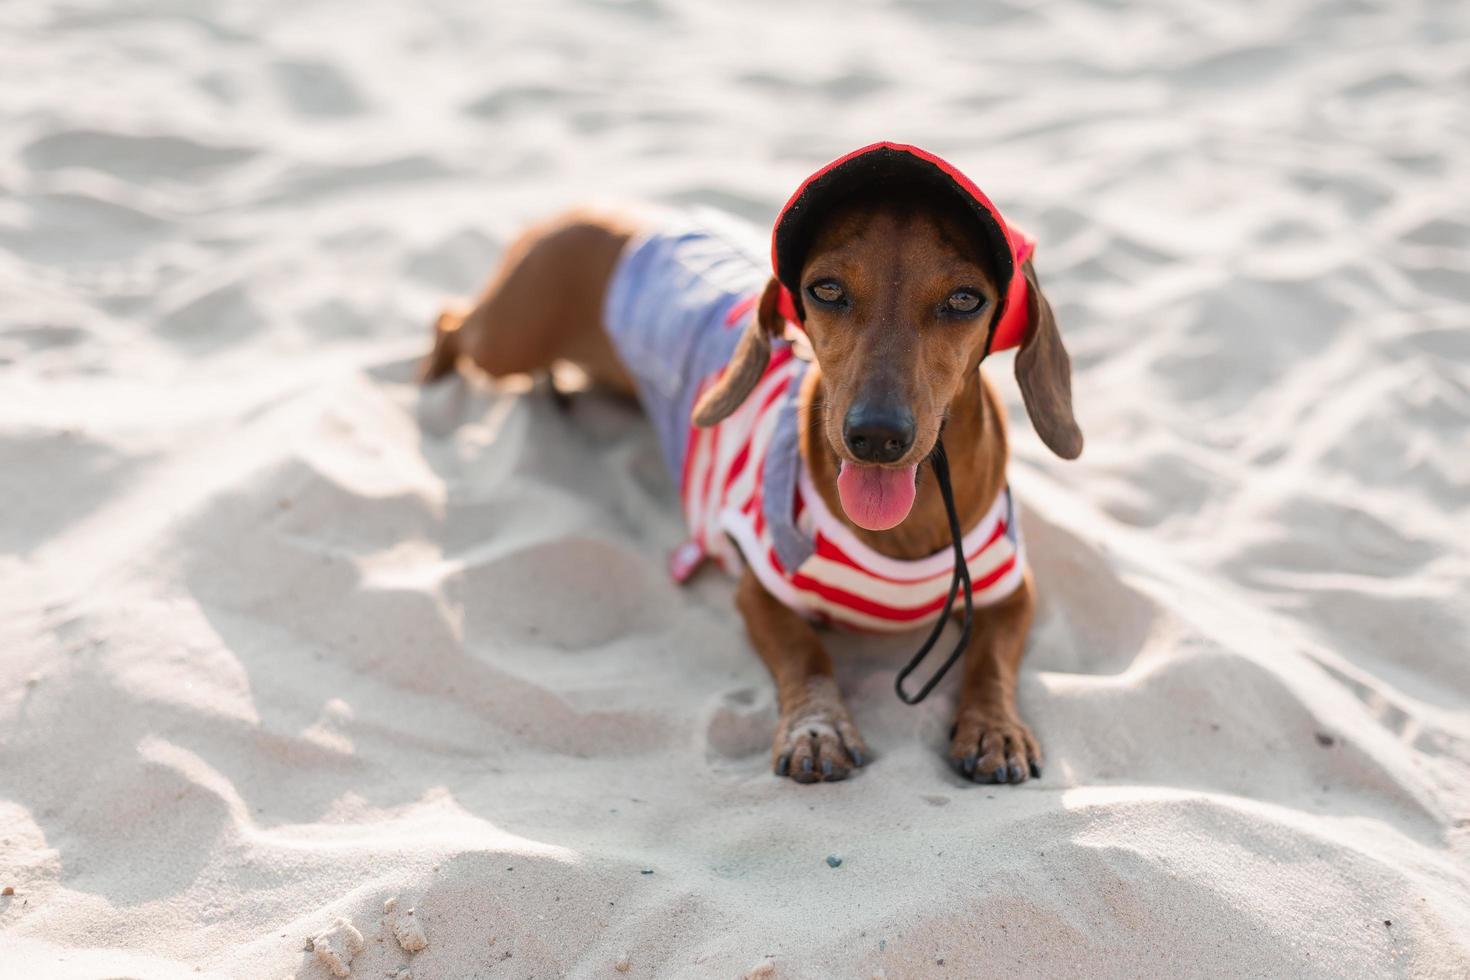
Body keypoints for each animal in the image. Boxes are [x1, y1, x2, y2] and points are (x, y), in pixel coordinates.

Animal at [423, 141, 1081, 787]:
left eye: (965, 299)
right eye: (826, 290)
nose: (876, 436)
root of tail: (608, 209)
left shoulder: (1012, 586)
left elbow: (990, 660)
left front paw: (994, 728)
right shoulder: (758, 588)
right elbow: (806, 655)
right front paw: (817, 729)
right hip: (506, 339)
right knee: (450, 321)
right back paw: (430, 380)